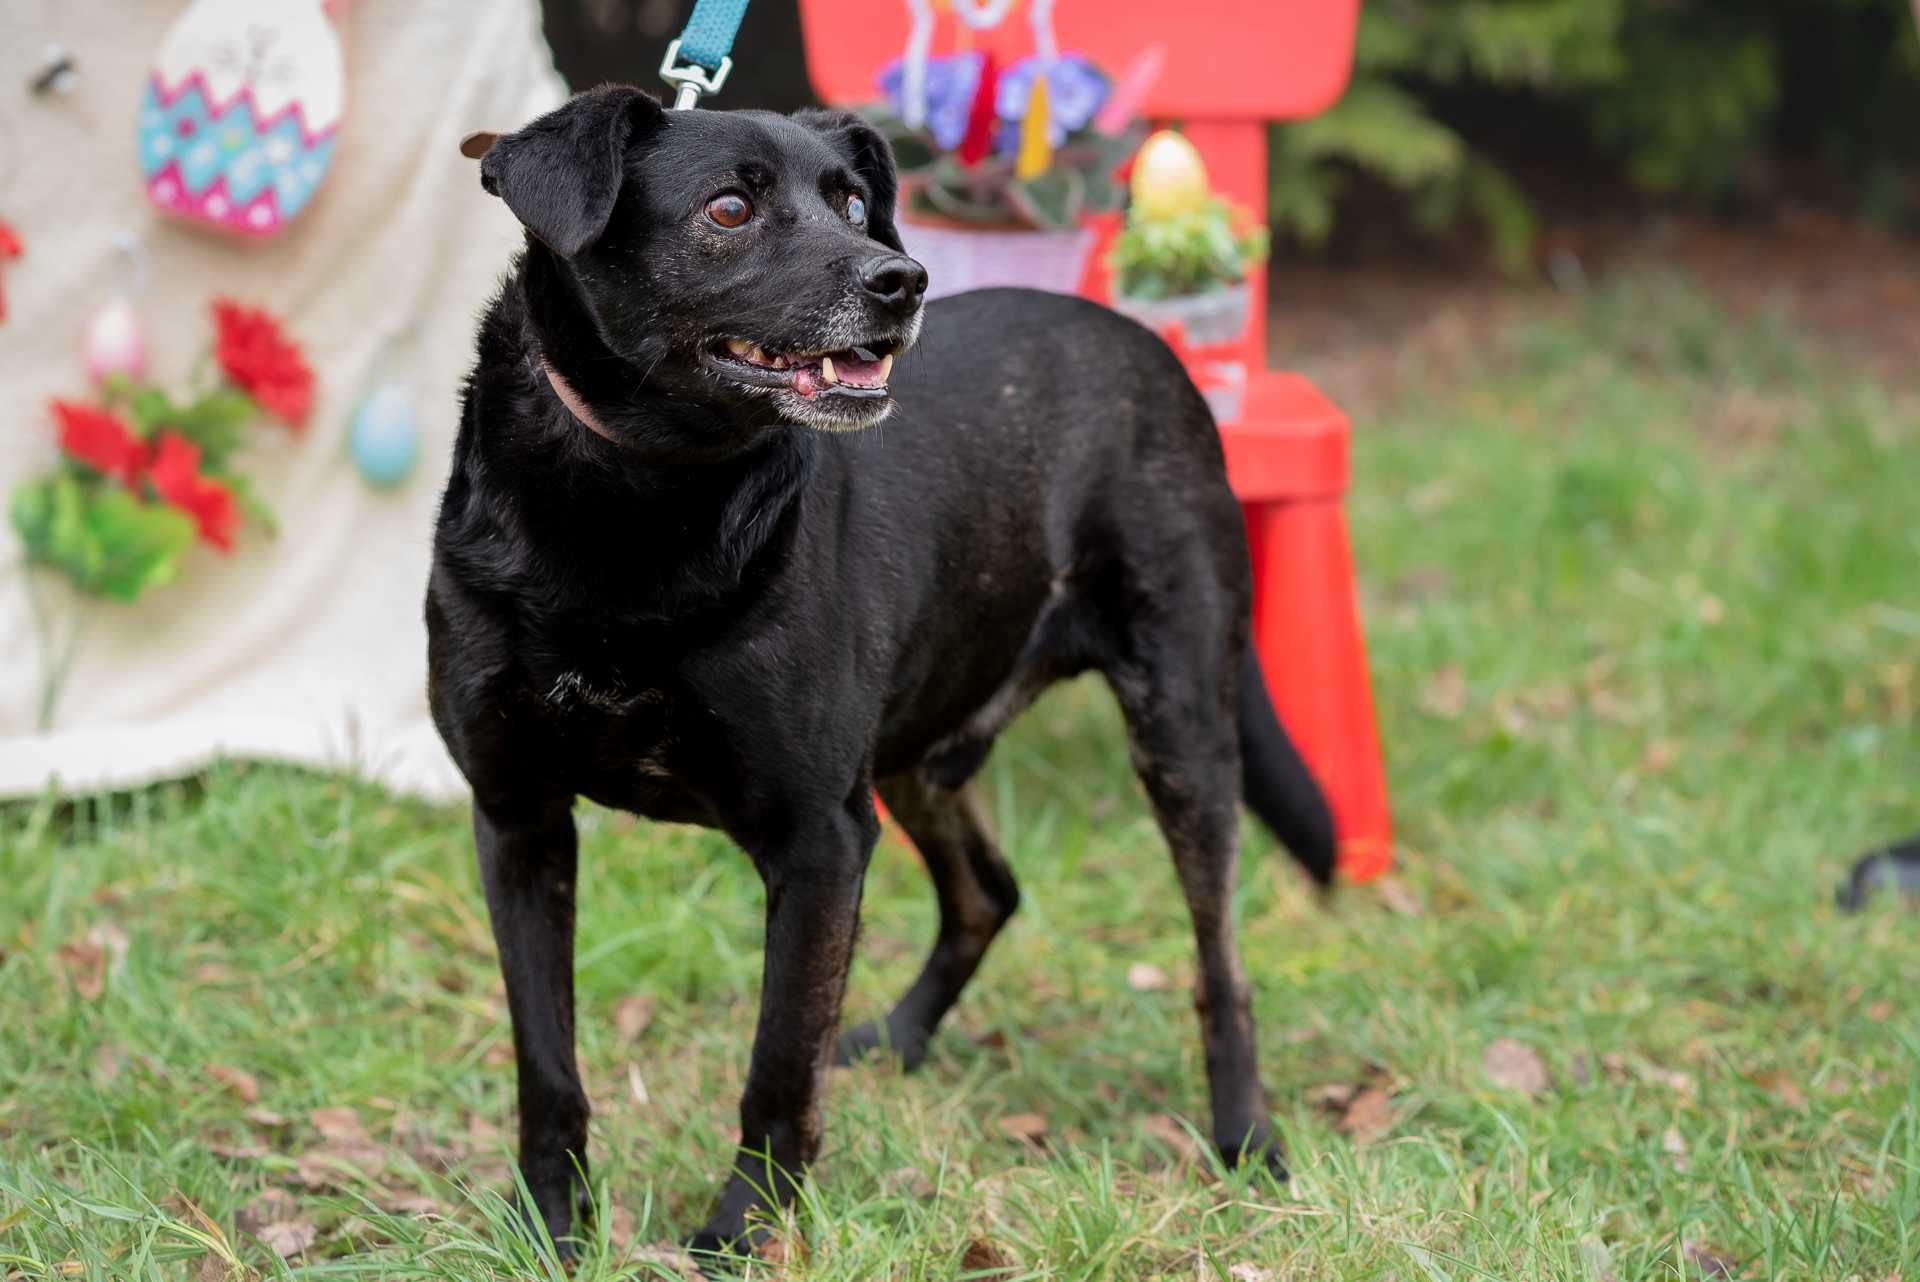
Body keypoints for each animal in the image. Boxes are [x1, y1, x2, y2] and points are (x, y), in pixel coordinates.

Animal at [430, 84, 1336, 1258]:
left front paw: (744, 1232)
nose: (901, 280)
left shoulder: (819, 837)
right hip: (915, 748)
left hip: (1178, 730)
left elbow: (778, 1061)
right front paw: (547, 1226)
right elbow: (547, 1061)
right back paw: (899, 1042)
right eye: (729, 208)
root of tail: (1150, 344)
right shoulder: (519, 817)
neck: (633, 500)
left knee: (1219, 965)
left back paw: (1246, 1139)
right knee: (988, 891)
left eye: (854, 203)